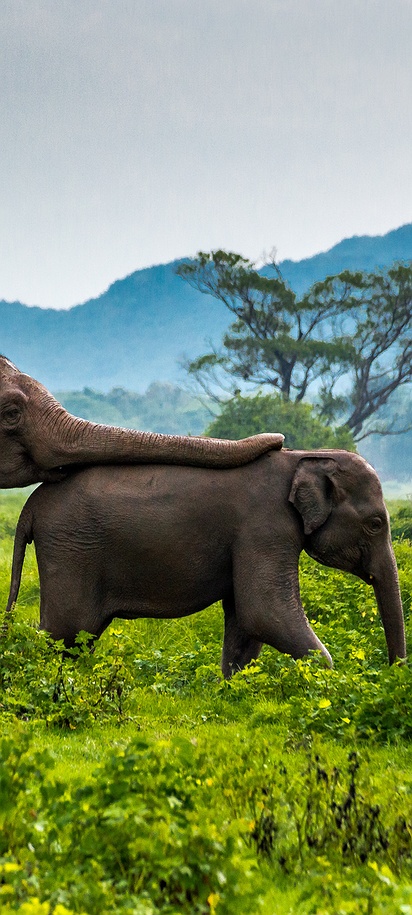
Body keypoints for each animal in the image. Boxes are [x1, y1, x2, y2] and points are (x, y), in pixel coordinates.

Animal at [4, 448, 406, 671]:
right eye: (375, 524)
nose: (393, 672)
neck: (304, 457)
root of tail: (31, 505)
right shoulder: (265, 526)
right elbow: (264, 611)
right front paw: (328, 680)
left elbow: (245, 619)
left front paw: (234, 687)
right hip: (71, 550)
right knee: (65, 631)